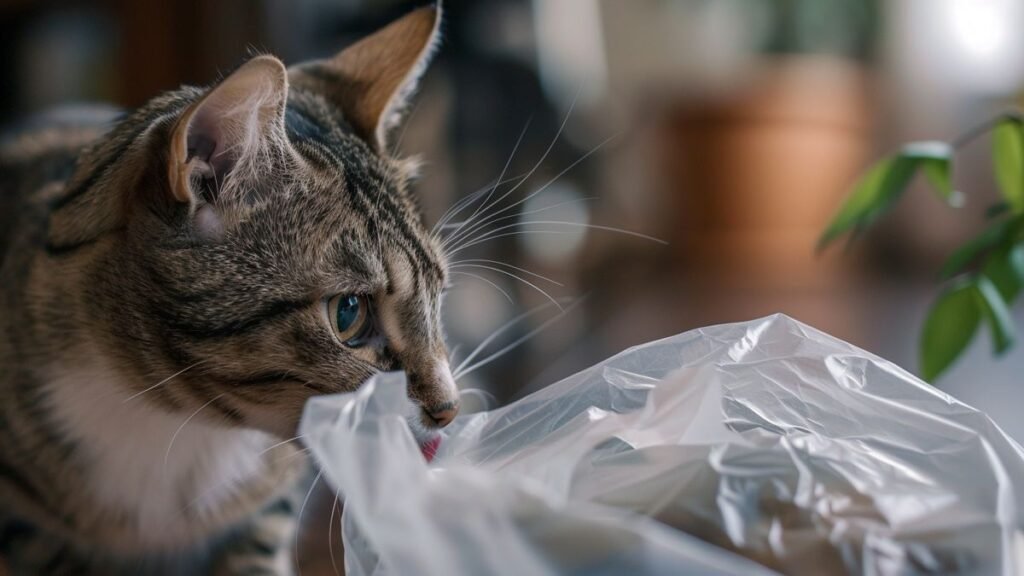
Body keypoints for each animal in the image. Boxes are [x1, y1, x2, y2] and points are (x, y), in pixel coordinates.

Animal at [0, 5, 456, 573]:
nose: (450, 410)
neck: (170, 420)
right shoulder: (27, 527)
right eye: (349, 313)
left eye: (438, 292)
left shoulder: (266, 513)